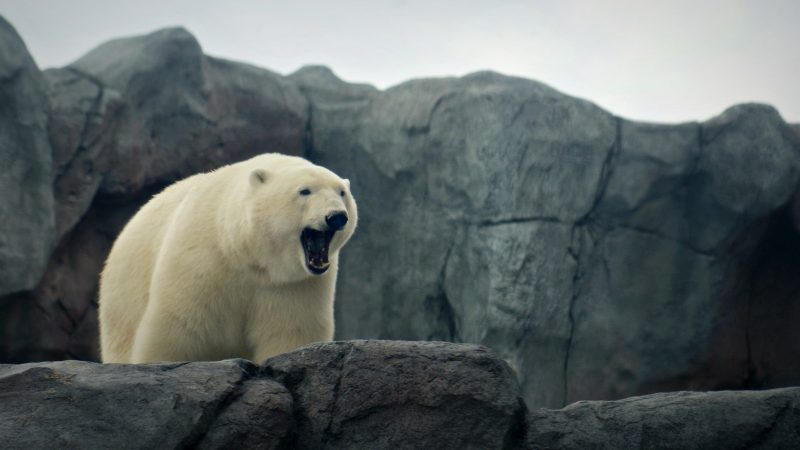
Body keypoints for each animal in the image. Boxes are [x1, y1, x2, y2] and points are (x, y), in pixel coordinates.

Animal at [98, 153, 357, 363]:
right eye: (304, 191)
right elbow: (179, 327)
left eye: (341, 192)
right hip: (122, 299)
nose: (336, 216)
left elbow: (290, 331)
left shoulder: (293, 285)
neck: (244, 252)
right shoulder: (200, 261)